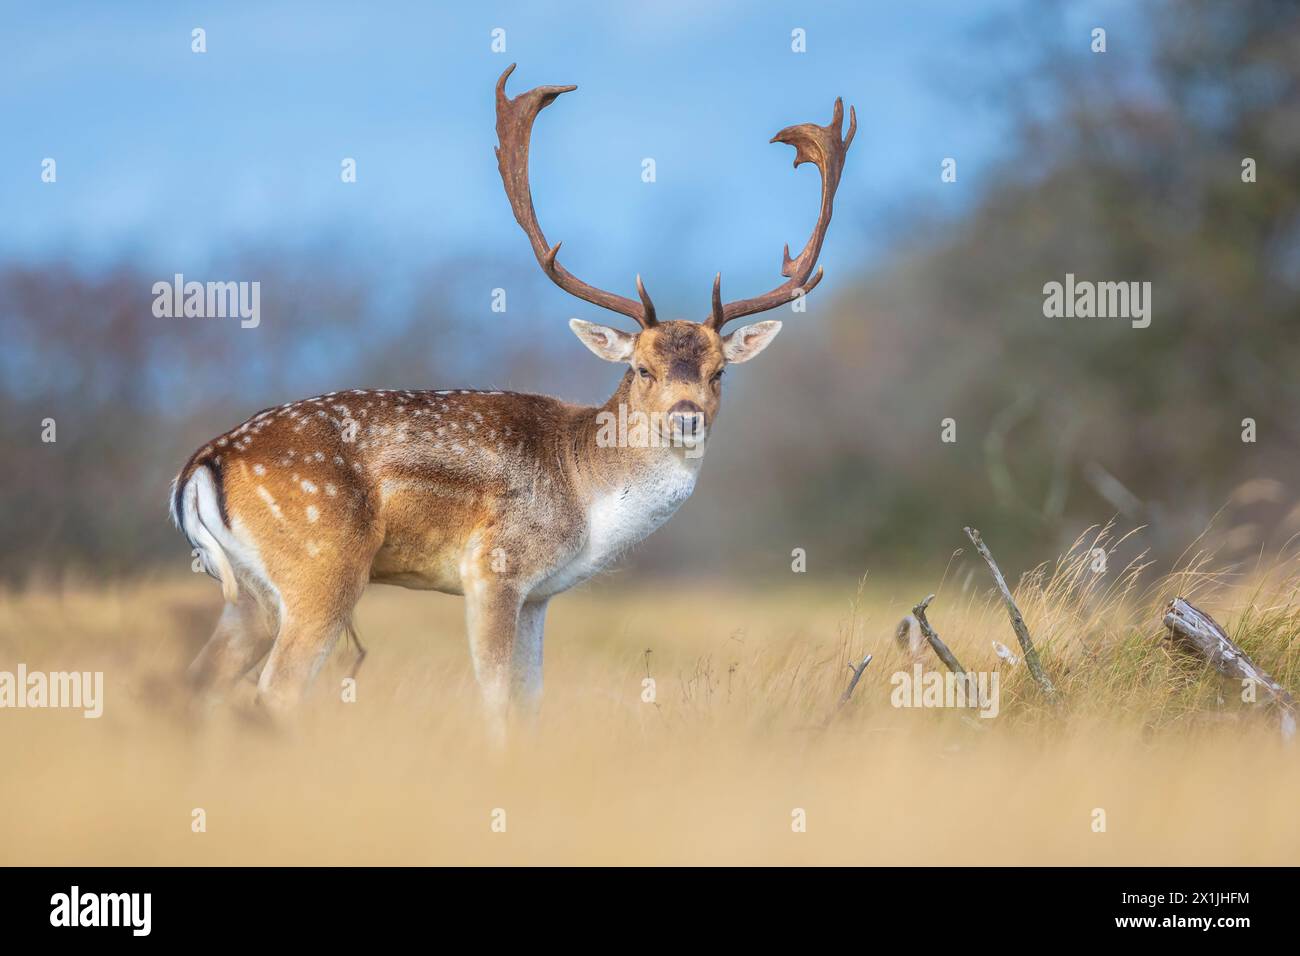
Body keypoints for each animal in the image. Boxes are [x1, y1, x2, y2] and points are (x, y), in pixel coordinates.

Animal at [171, 64, 854, 741]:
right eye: (641, 368)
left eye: (719, 372)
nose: (685, 416)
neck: (586, 497)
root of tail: (203, 464)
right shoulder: (494, 569)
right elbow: (498, 701)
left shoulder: (540, 595)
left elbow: (530, 701)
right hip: (322, 565)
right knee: (276, 691)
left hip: (248, 593)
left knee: (199, 682)